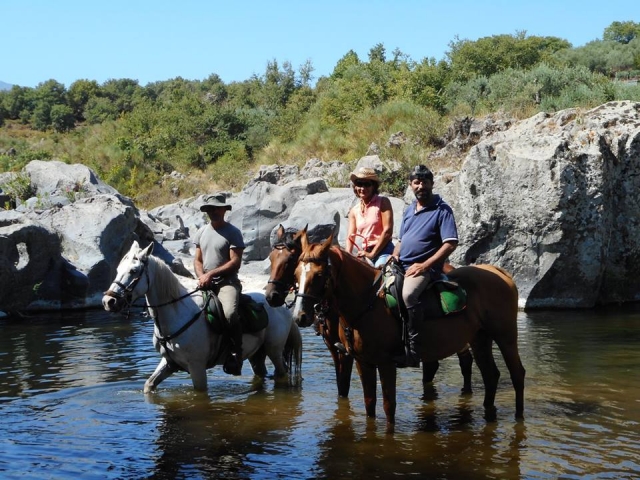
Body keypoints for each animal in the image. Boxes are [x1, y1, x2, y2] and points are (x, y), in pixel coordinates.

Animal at [102, 241, 302, 394]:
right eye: (118, 269)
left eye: (134, 271)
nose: (108, 301)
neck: (176, 314)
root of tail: (281, 306)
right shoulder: (169, 362)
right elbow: (149, 385)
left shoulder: (197, 367)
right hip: (257, 354)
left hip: (274, 350)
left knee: (281, 373)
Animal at [265, 225, 474, 398]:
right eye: (271, 257)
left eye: (290, 260)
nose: (271, 296)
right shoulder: (334, 348)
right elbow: (341, 386)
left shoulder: (348, 354)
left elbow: (344, 385)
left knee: (465, 359)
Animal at [291, 232, 525, 433]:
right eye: (296, 273)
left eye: (318, 275)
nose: (299, 316)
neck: (368, 302)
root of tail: (499, 272)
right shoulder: (362, 362)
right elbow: (369, 404)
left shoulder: (386, 363)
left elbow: (388, 406)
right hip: (479, 339)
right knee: (490, 375)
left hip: (506, 337)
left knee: (517, 374)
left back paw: (519, 417)